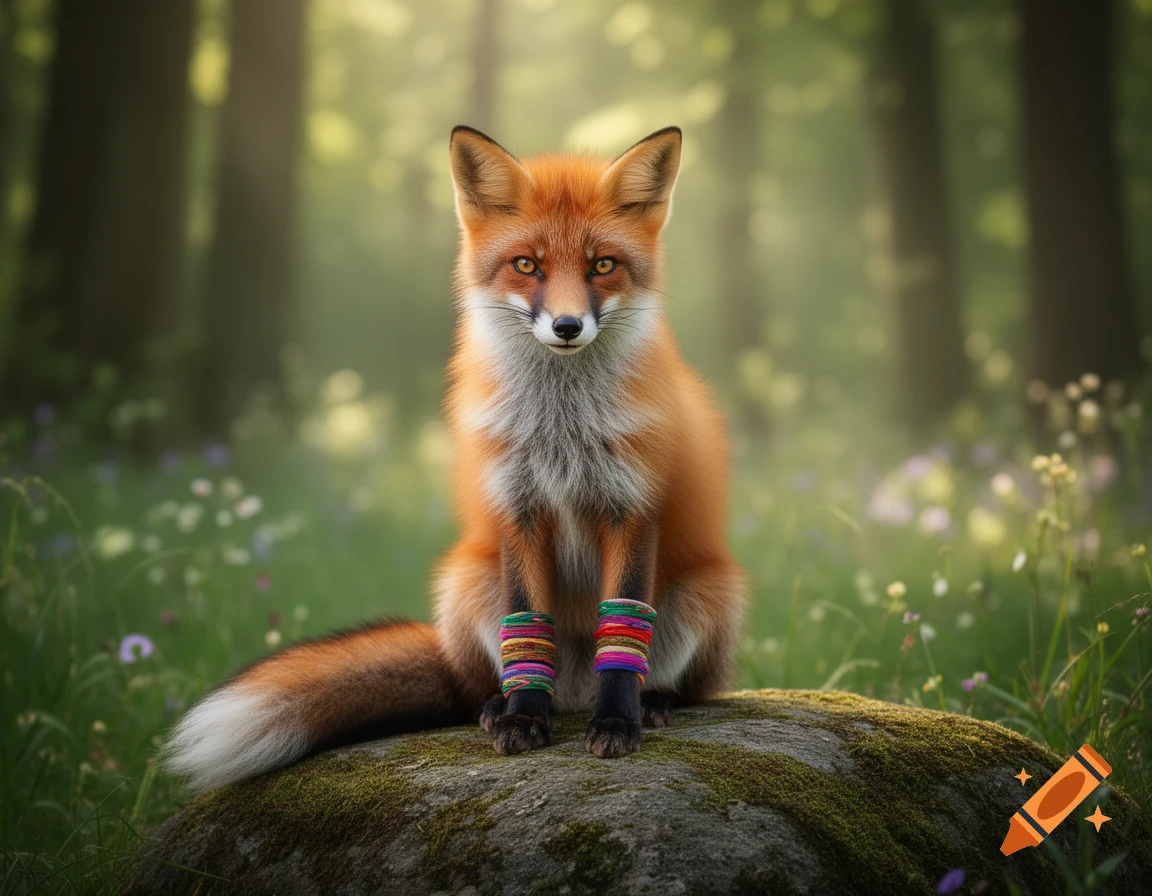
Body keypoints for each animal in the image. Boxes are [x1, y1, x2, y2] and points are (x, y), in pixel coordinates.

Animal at [165, 125, 747, 791]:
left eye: (602, 265)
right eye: (527, 265)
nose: (567, 326)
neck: (562, 429)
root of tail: (572, 691)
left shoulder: (633, 506)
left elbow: (622, 636)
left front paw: (617, 723)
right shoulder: (518, 507)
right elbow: (527, 625)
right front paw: (524, 719)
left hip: (708, 592)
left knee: (681, 681)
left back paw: (653, 702)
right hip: (467, 580)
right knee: (480, 687)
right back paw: (500, 705)